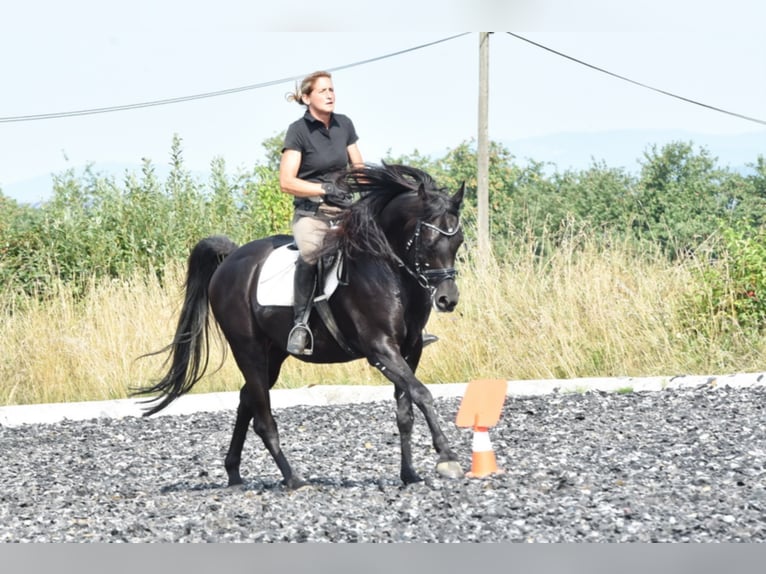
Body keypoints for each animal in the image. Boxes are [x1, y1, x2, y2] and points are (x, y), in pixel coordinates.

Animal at [134, 163, 466, 489]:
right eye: (429, 240)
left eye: (458, 240)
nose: (447, 299)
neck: (387, 271)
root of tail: (230, 260)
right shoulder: (381, 349)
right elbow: (422, 393)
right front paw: (447, 458)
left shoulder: (410, 350)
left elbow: (405, 411)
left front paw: (409, 474)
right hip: (248, 350)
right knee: (262, 417)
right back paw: (293, 478)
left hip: (273, 355)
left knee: (247, 401)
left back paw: (234, 474)